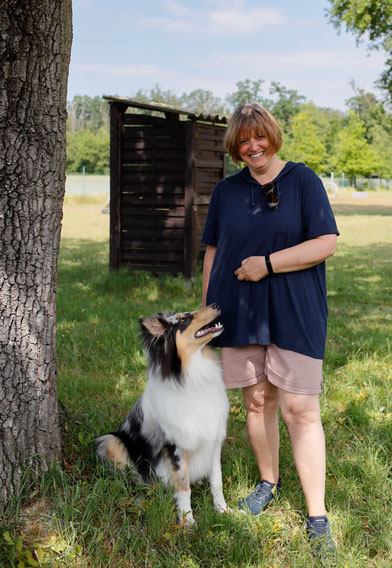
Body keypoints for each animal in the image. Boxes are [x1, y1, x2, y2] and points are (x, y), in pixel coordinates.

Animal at [95, 304, 230, 524]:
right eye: (183, 320)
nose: (216, 305)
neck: (191, 378)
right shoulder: (176, 447)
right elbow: (184, 487)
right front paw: (187, 521)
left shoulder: (213, 441)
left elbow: (216, 482)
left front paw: (224, 511)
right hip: (111, 441)